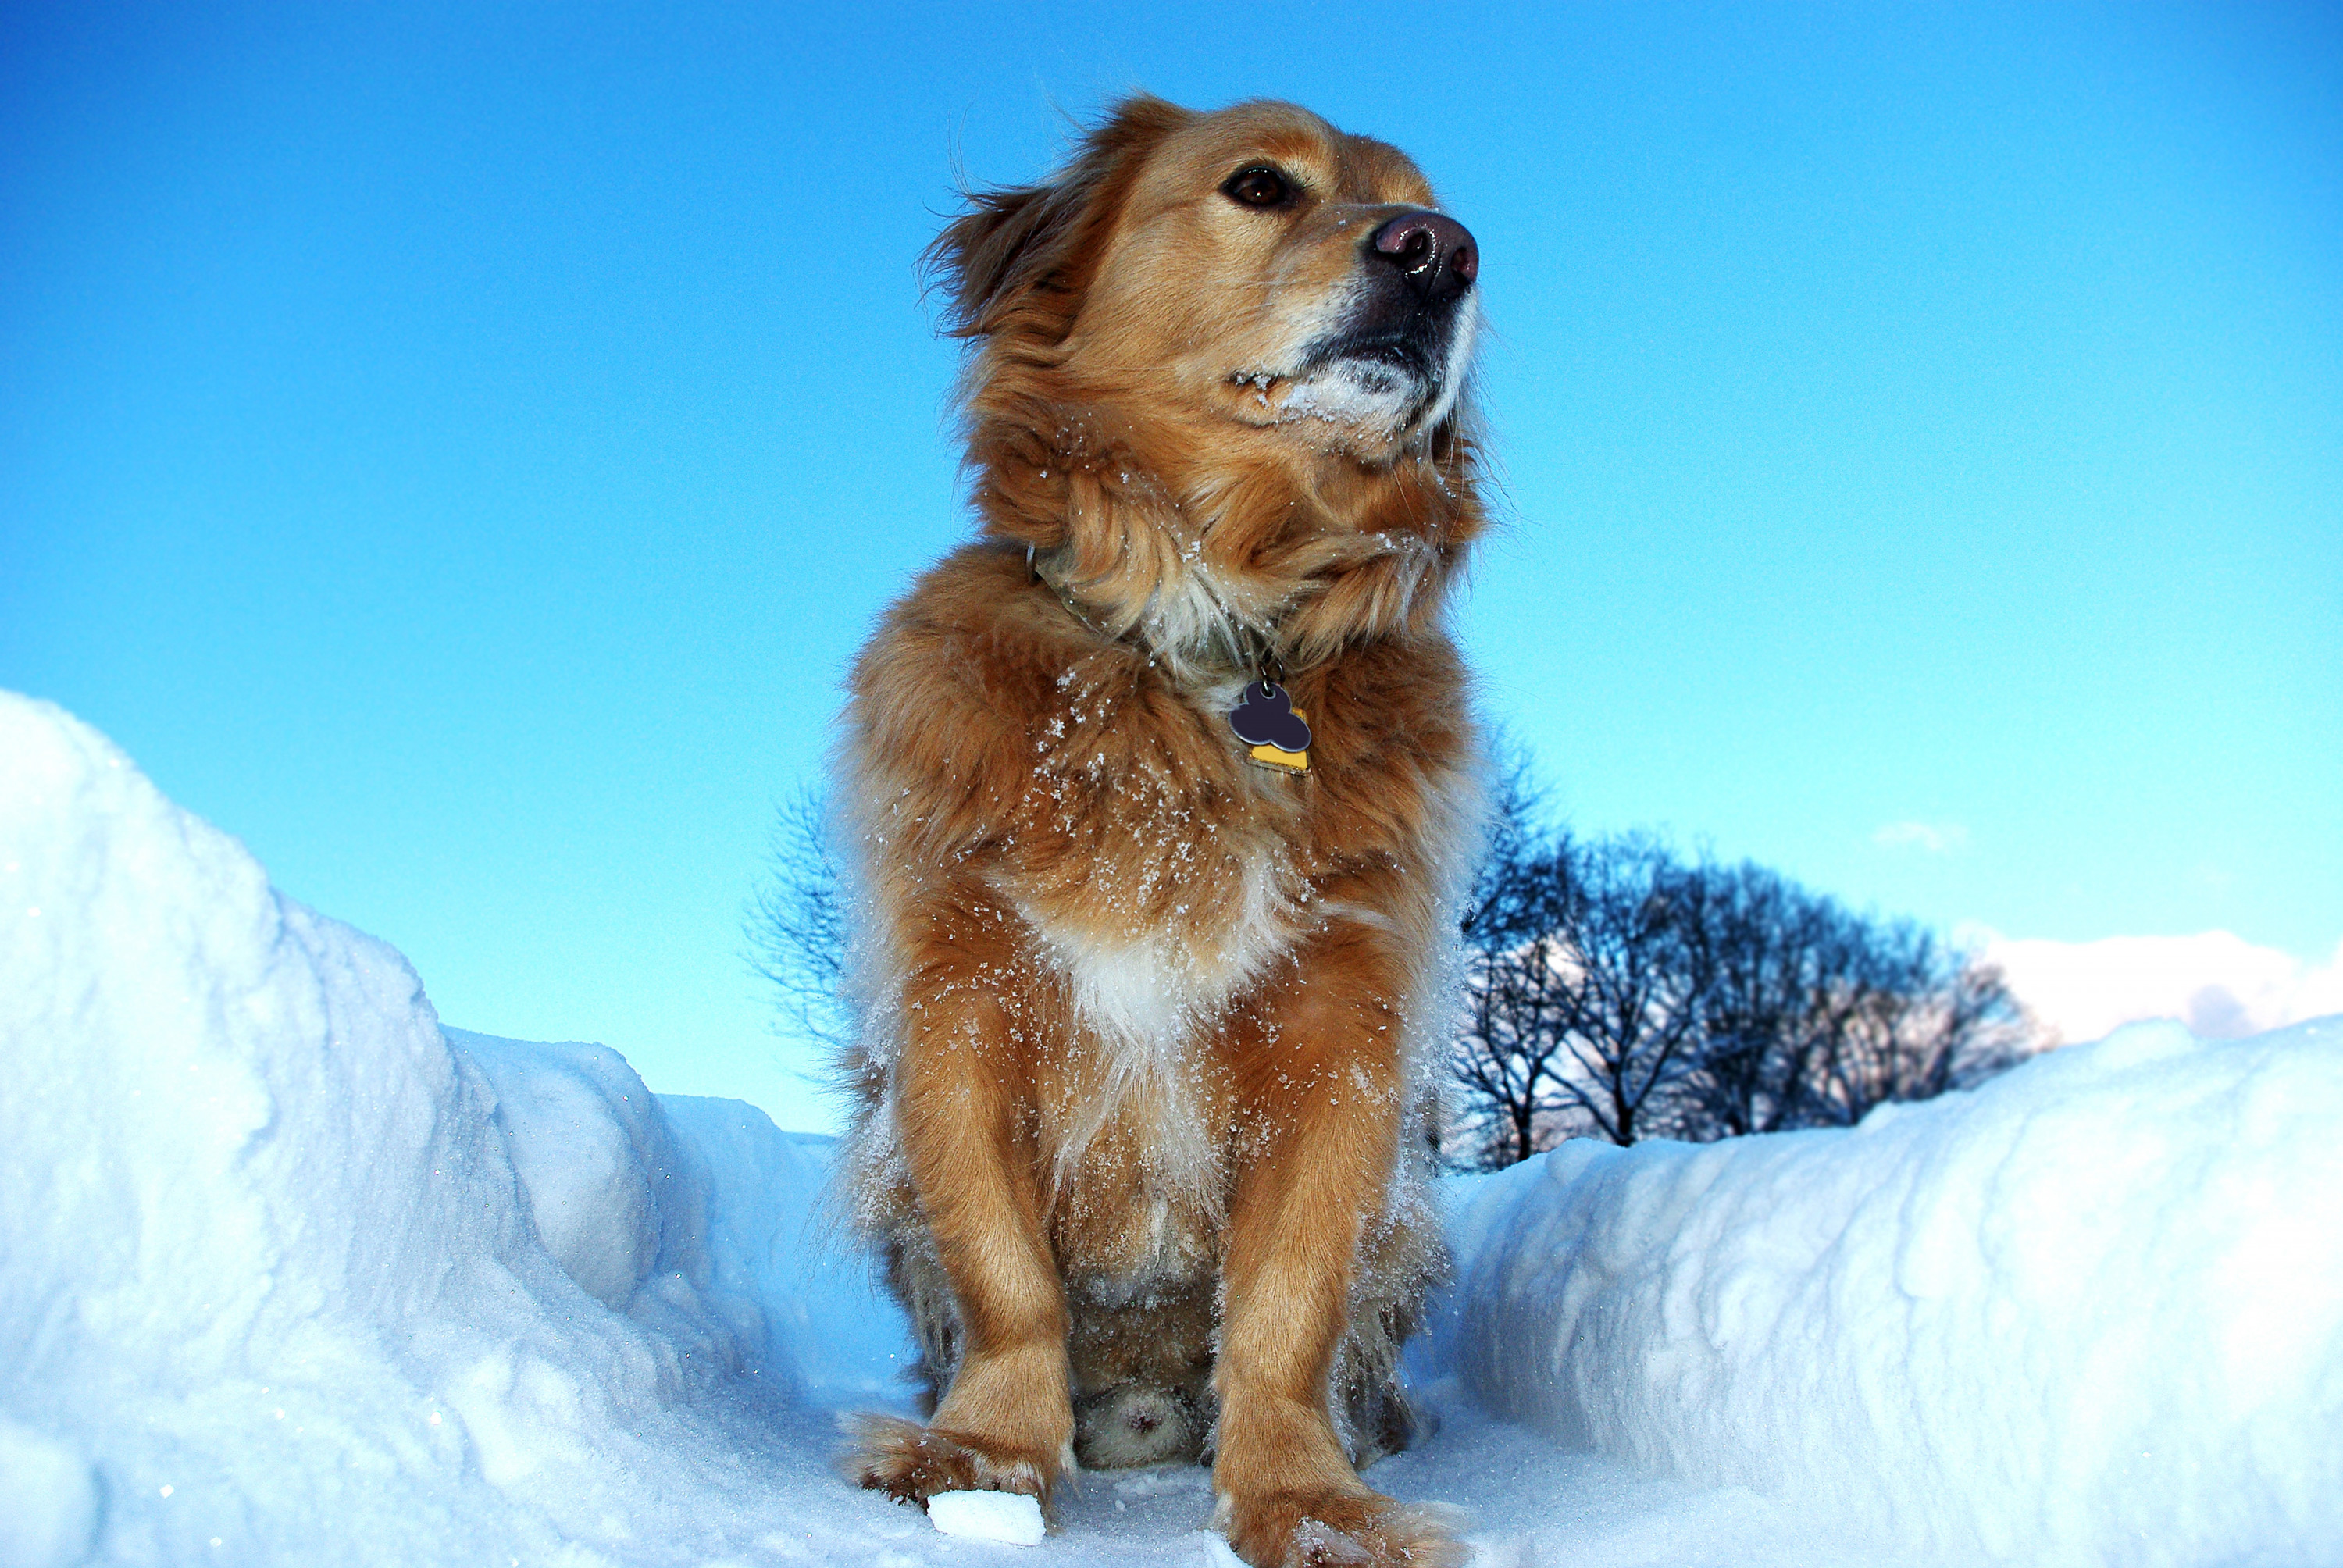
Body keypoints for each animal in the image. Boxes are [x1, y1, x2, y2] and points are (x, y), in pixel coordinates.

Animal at [834, 98, 1490, 1565]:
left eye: (1437, 212)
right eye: (1260, 185)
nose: (1440, 252)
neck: (1206, 635)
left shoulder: (1342, 1032)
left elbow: (1291, 1302)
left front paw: (1307, 1503)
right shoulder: (959, 997)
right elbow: (1005, 1272)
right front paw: (981, 1461)